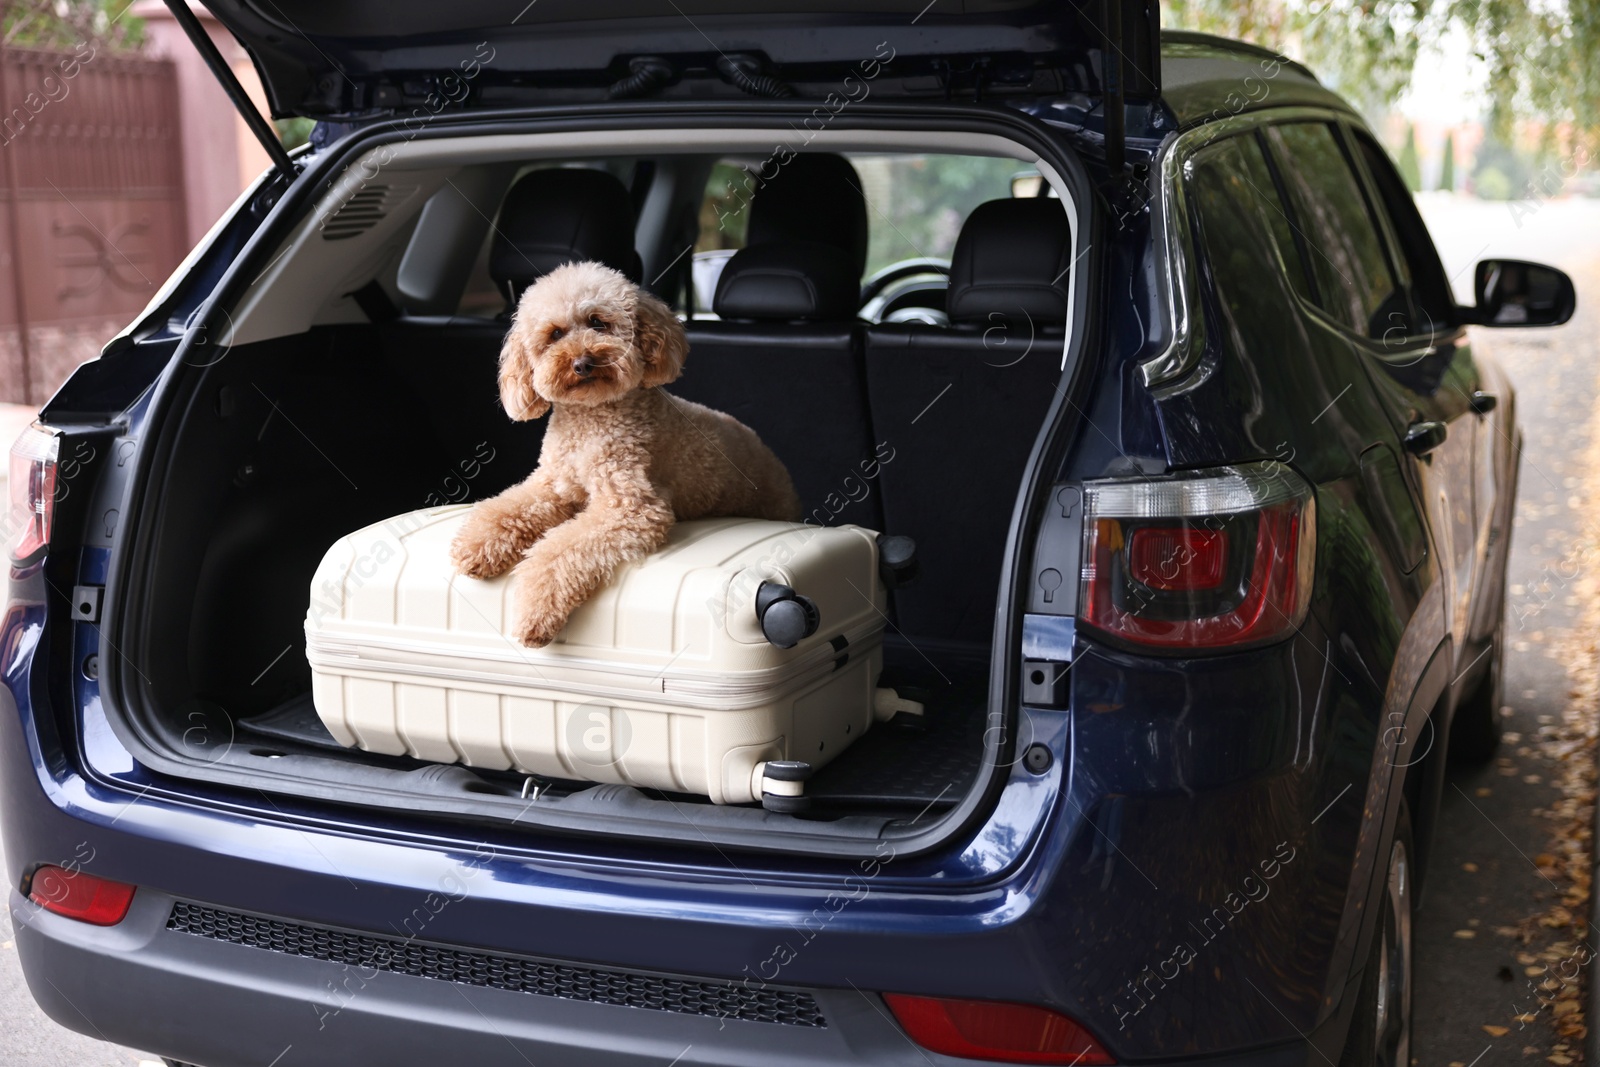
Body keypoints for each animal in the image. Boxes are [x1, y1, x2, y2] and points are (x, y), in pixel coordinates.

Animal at [448, 262, 800, 646]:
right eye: (555, 334)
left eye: (598, 322)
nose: (582, 363)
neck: (590, 417)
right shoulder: (553, 486)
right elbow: (507, 508)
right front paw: (476, 546)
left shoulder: (630, 506)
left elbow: (561, 549)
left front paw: (535, 611)